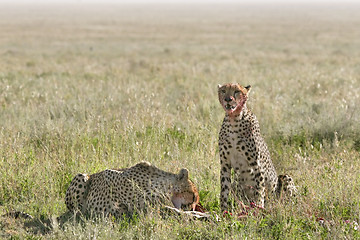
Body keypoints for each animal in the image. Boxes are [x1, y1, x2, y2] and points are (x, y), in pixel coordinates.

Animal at [64, 161, 200, 218]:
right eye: (194, 196)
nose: (193, 207)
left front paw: (199, 214)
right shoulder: (146, 209)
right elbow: (174, 211)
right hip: (81, 177)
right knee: (76, 210)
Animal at [217, 82, 296, 210]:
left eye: (237, 91)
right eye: (223, 91)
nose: (228, 99)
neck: (234, 119)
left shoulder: (257, 165)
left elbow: (259, 189)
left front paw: (259, 208)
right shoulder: (225, 164)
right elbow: (224, 190)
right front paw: (223, 211)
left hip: (284, 179)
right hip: (236, 184)